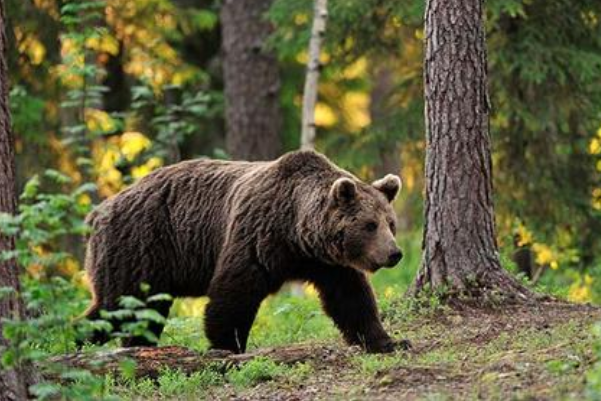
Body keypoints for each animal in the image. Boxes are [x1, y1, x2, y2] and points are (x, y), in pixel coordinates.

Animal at [83, 150, 404, 354]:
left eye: (391, 223)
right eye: (370, 225)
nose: (395, 253)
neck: (296, 231)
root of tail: (99, 211)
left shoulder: (327, 262)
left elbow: (351, 299)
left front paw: (387, 342)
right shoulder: (257, 236)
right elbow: (235, 292)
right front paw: (227, 346)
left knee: (139, 313)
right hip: (140, 245)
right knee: (120, 306)